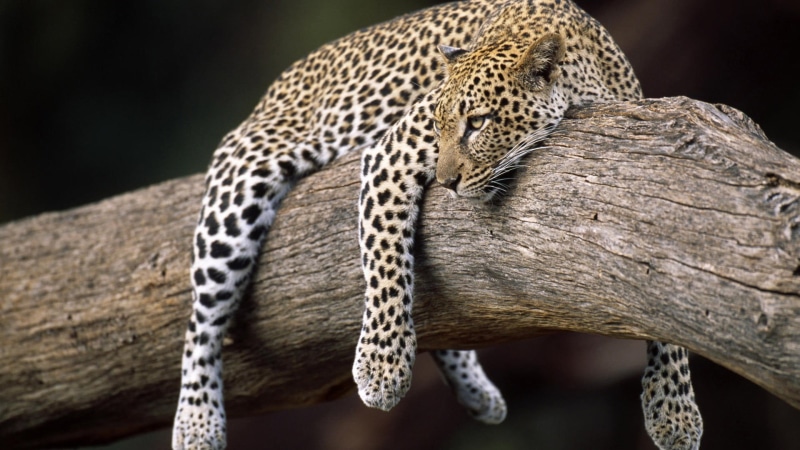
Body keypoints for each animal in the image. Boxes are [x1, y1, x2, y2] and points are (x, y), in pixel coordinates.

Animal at [172, 1, 703, 449]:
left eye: (479, 123)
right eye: (438, 125)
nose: (447, 182)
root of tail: (276, 86)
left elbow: (664, 297)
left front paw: (673, 410)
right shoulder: (390, 152)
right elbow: (386, 259)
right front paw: (381, 368)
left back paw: (477, 393)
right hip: (239, 190)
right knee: (202, 320)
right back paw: (196, 423)